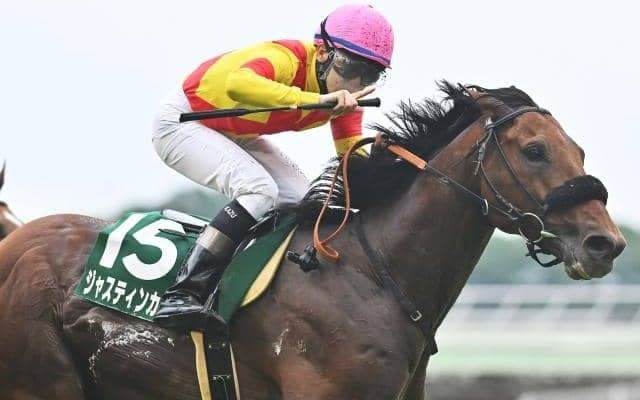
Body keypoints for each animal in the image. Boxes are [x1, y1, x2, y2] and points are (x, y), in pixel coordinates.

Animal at [0, 82, 626, 399]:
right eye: (534, 150)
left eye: (579, 149)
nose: (606, 244)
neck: (371, 274)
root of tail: (16, 238)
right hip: (40, 382)